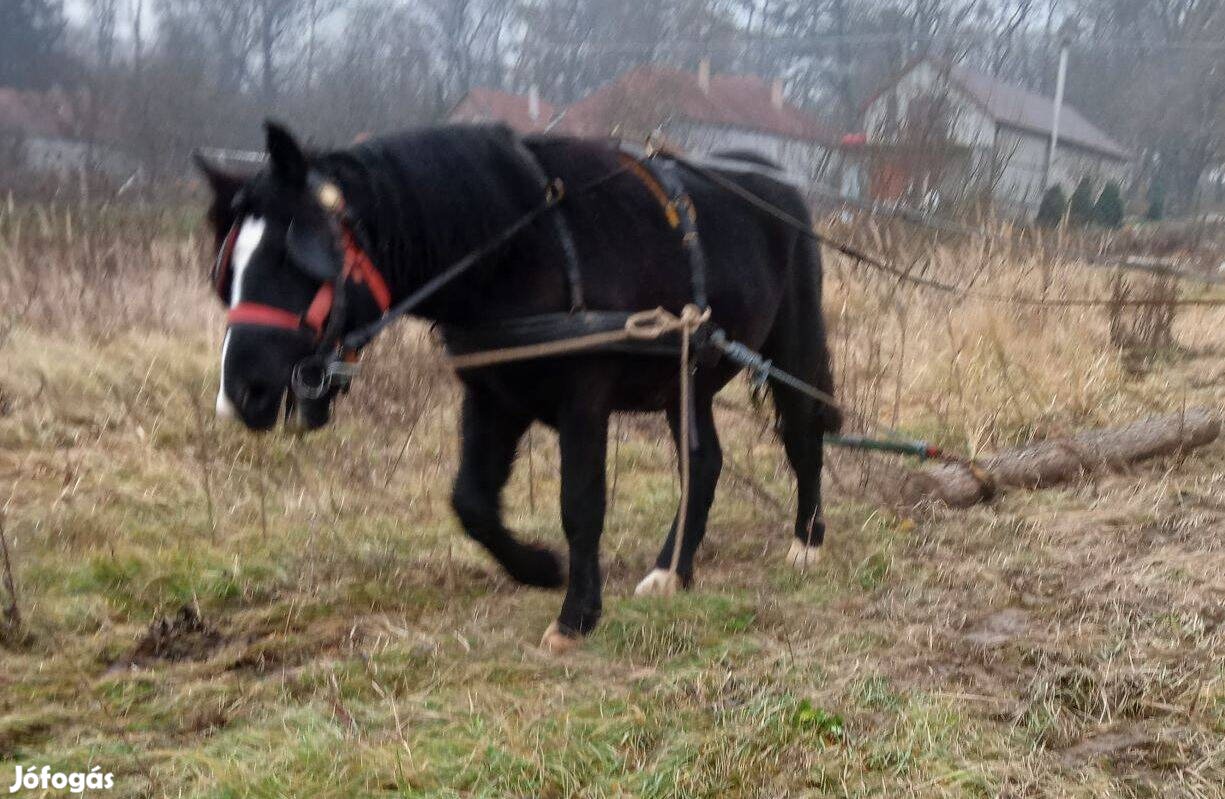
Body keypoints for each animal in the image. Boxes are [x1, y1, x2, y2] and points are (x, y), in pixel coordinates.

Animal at [196, 121, 842, 651]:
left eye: (293, 260)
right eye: (227, 273)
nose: (242, 393)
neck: (517, 251)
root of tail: (777, 179)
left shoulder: (584, 401)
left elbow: (580, 504)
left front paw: (576, 615)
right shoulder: (491, 398)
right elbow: (471, 502)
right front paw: (540, 568)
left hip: (793, 342)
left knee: (803, 433)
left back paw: (807, 541)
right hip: (688, 372)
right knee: (703, 461)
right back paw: (672, 570)